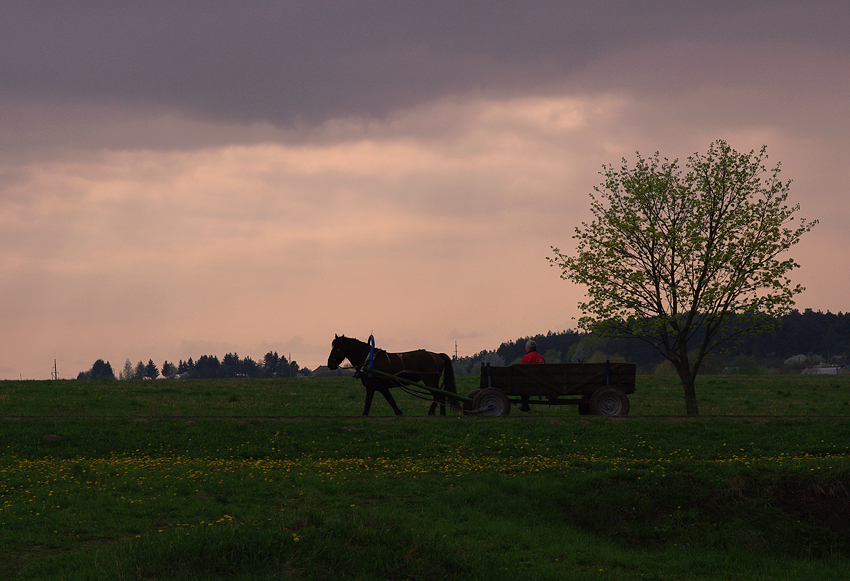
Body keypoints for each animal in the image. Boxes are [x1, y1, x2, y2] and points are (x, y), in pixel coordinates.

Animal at [326, 334, 458, 414]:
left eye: (337, 348)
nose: (330, 363)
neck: (369, 360)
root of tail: (437, 355)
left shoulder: (382, 386)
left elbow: (390, 400)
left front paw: (399, 413)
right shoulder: (370, 387)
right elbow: (367, 405)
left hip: (430, 380)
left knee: (439, 396)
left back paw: (432, 413)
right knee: (441, 396)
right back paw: (441, 414)